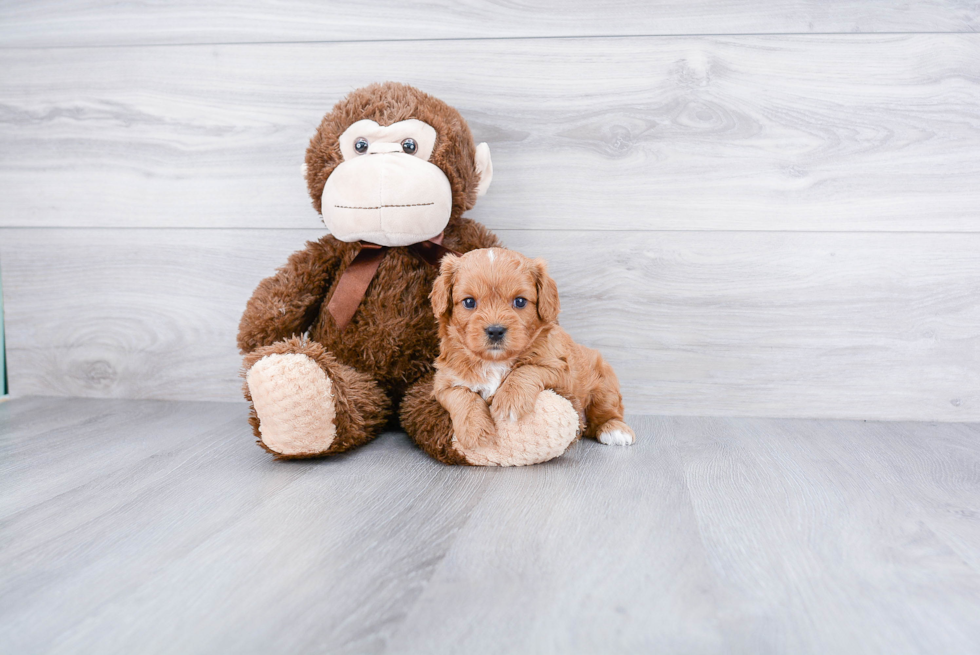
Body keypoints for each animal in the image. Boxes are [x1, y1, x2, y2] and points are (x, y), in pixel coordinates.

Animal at [430, 246, 636, 452]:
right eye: (469, 302)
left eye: (520, 301)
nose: (495, 331)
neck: (495, 361)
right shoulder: (444, 382)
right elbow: (462, 396)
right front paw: (474, 430)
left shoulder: (561, 370)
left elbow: (527, 369)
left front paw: (510, 400)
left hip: (605, 382)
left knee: (608, 410)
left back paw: (616, 429)